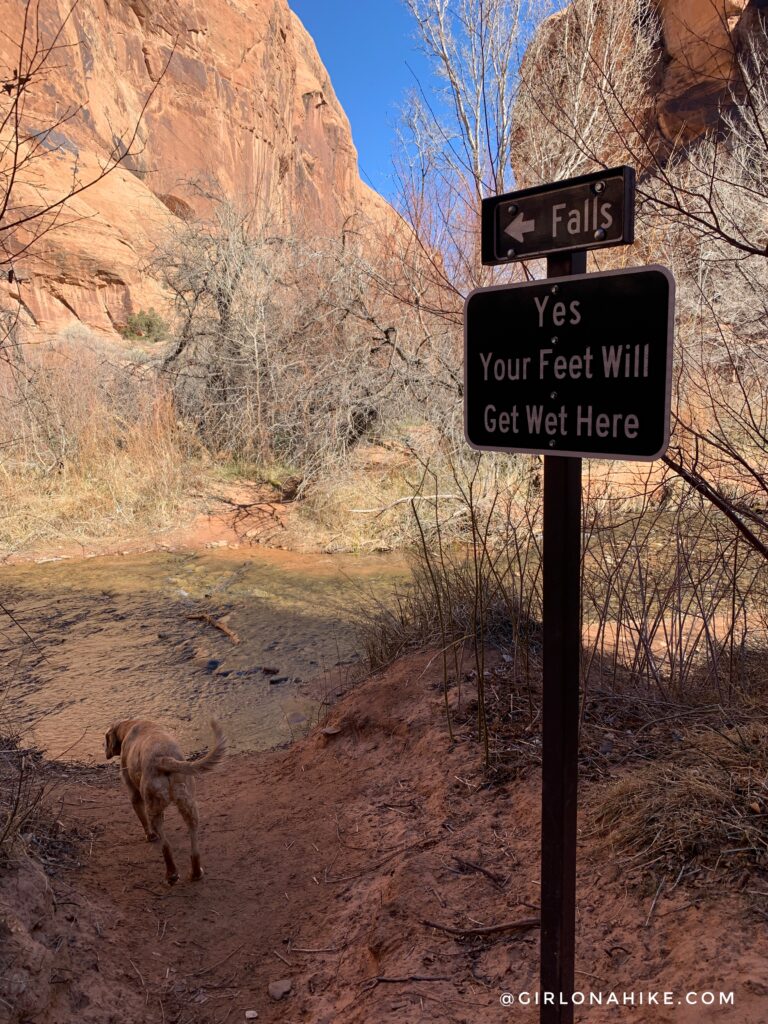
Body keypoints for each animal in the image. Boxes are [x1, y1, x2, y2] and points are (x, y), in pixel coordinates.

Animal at [105, 720, 225, 880]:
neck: (129, 727)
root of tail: (163, 759)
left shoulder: (134, 795)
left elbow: (143, 821)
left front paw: (150, 836)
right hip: (189, 805)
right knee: (194, 843)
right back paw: (196, 873)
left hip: (153, 809)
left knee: (166, 846)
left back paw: (171, 874)